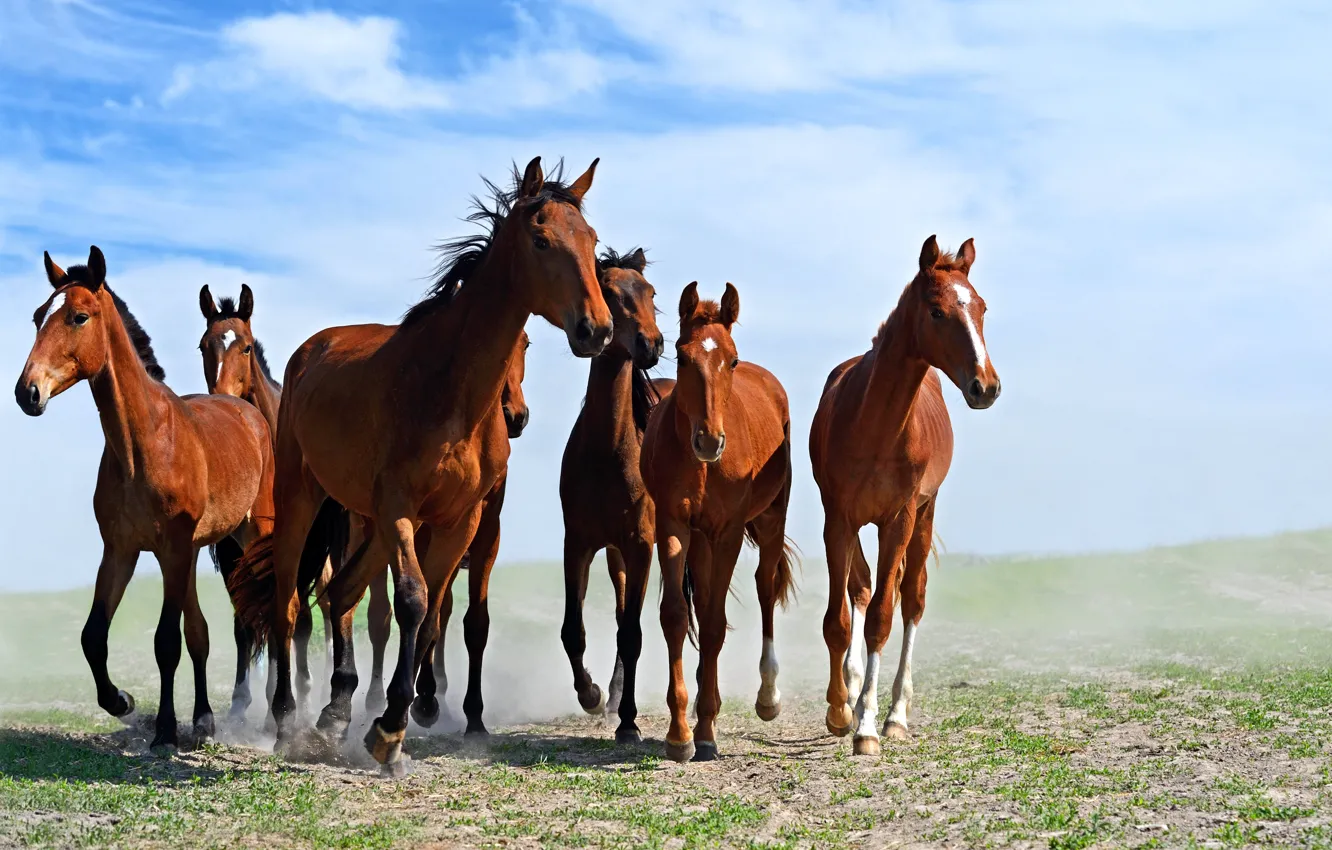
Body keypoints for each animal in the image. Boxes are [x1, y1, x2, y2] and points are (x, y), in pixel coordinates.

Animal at [14, 246, 275, 753]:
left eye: (79, 316)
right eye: (38, 316)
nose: (26, 392)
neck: (144, 444)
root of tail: (247, 409)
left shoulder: (171, 550)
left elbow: (165, 642)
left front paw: (165, 732)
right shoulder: (121, 550)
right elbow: (94, 635)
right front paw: (122, 701)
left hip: (254, 535)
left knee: (278, 610)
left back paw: (280, 713)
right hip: (197, 553)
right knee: (203, 632)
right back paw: (206, 719)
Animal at [198, 284, 338, 720]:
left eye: (244, 347)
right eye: (204, 345)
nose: (223, 402)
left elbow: (290, 615)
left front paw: (289, 694)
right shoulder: (232, 552)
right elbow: (245, 621)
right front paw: (241, 702)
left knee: (324, 608)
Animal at [228, 156, 612, 770]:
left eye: (592, 240)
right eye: (541, 239)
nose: (595, 329)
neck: (450, 390)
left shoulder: (460, 521)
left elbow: (433, 615)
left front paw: (393, 719)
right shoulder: (400, 508)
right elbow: (412, 600)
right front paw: (388, 728)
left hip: (369, 524)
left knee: (342, 593)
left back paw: (336, 713)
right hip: (304, 499)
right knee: (289, 602)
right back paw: (288, 719)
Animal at [640, 282, 797, 762]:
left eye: (732, 359)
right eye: (682, 356)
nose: (709, 441)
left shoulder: (727, 533)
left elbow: (712, 625)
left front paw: (706, 732)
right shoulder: (674, 526)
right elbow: (676, 615)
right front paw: (680, 734)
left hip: (771, 519)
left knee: (765, 586)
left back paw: (767, 697)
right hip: (701, 540)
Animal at [809, 235, 1000, 756]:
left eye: (982, 308)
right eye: (937, 311)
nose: (986, 386)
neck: (875, 425)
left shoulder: (899, 518)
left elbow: (882, 616)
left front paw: (870, 727)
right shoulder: (838, 519)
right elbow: (841, 617)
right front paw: (841, 710)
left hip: (923, 515)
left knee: (910, 598)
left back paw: (895, 712)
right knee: (861, 589)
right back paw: (854, 691)